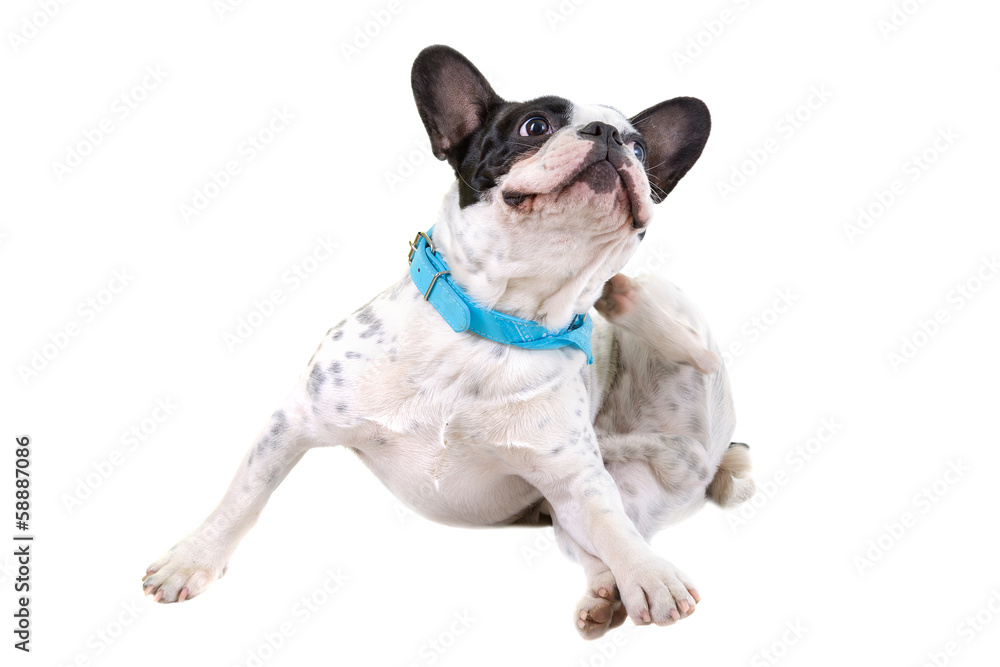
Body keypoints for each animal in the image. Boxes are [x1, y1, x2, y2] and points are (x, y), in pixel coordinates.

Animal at [141, 44, 752, 640]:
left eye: (642, 149)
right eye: (534, 125)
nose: (607, 136)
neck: (494, 324)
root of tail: (712, 457)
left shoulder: (580, 482)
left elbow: (614, 527)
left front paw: (649, 575)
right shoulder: (294, 421)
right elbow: (243, 496)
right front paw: (193, 559)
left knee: (700, 357)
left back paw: (624, 302)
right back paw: (605, 595)